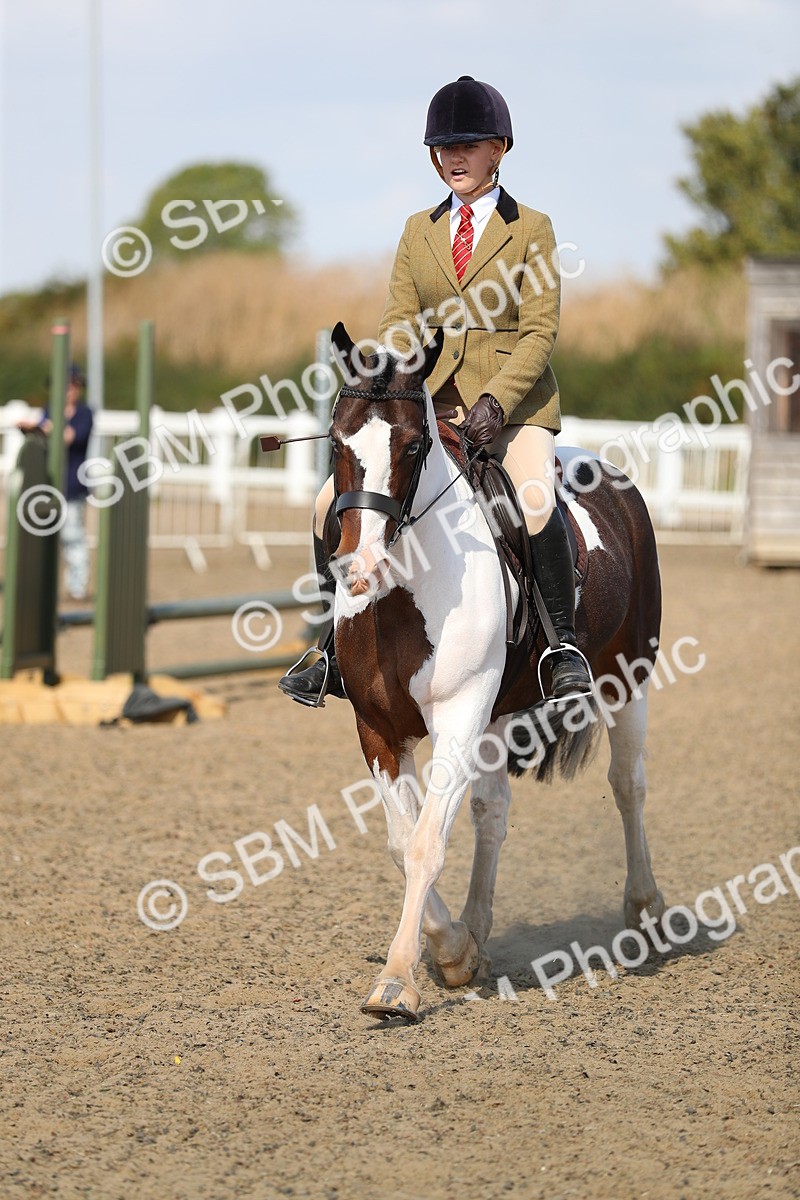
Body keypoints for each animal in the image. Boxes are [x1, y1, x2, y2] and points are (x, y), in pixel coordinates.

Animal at [326, 321, 664, 1022]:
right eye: (337, 441)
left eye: (413, 444)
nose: (360, 569)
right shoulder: (377, 728)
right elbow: (403, 842)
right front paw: (453, 950)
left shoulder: (458, 714)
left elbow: (426, 841)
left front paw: (397, 982)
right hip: (500, 711)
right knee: (492, 810)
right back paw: (477, 932)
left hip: (628, 680)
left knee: (628, 785)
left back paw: (644, 911)